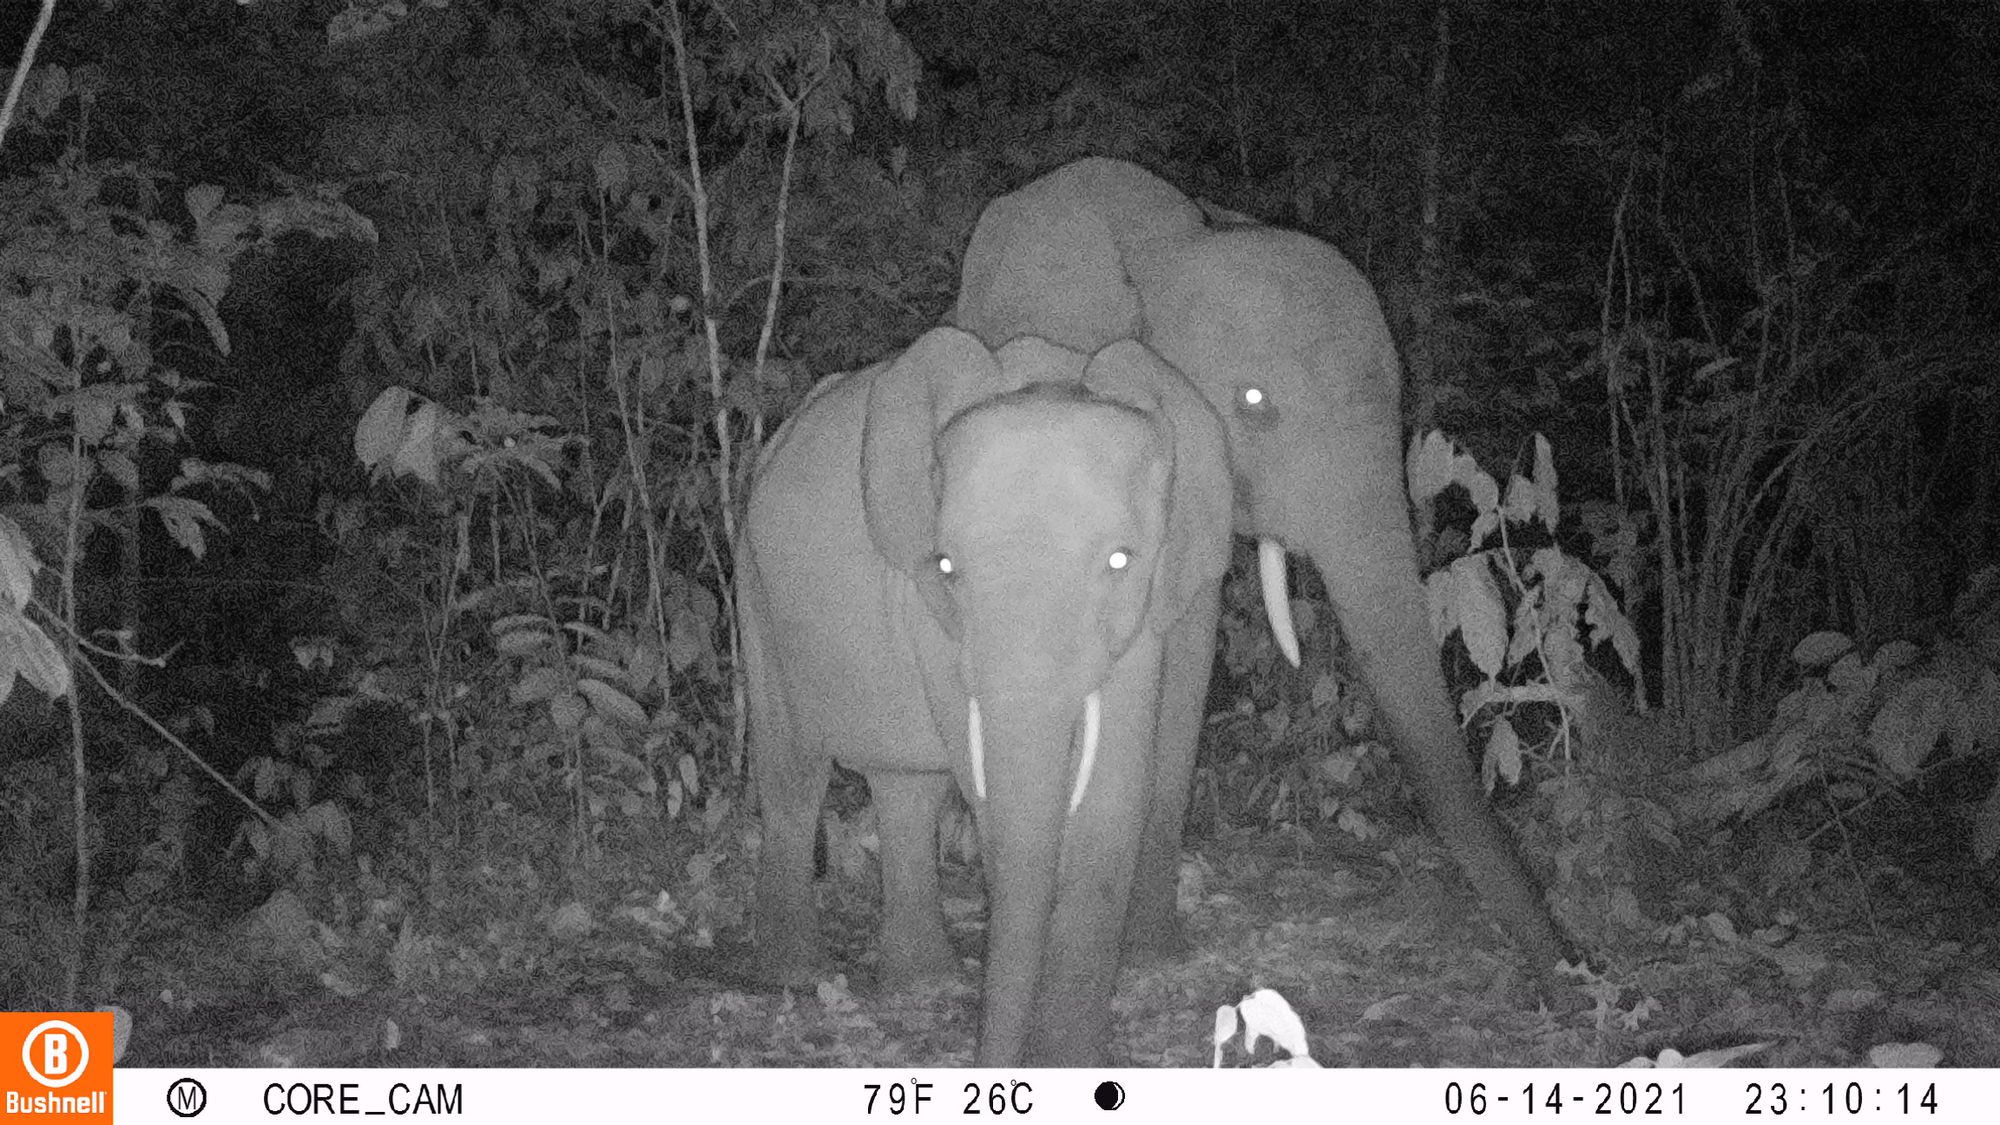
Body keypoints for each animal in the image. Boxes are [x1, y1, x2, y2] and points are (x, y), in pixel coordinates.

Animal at [736, 324, 1238, 1066]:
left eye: (1120, 561)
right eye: (948, 566)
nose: (987, 1068)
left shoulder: (1156, 601)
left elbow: (1115, 797)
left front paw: (1070, 1063)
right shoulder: (935, 613)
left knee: (904, 786)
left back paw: (921, 980)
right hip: (756, 589)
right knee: (793, 774)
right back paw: (795, 976)